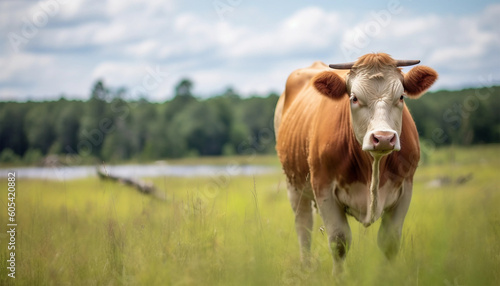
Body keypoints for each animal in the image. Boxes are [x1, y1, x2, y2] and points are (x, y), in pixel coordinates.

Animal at [274, 52, 438, 274]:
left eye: (401, 97)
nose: (383, 138)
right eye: (354, 98)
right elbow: (339, 242)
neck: (373, 167)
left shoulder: (406, 188)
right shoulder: (324, 188)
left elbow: (389, 242)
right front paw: (339, 277)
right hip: (294, 186)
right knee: (303, 227)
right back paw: (306, 268)